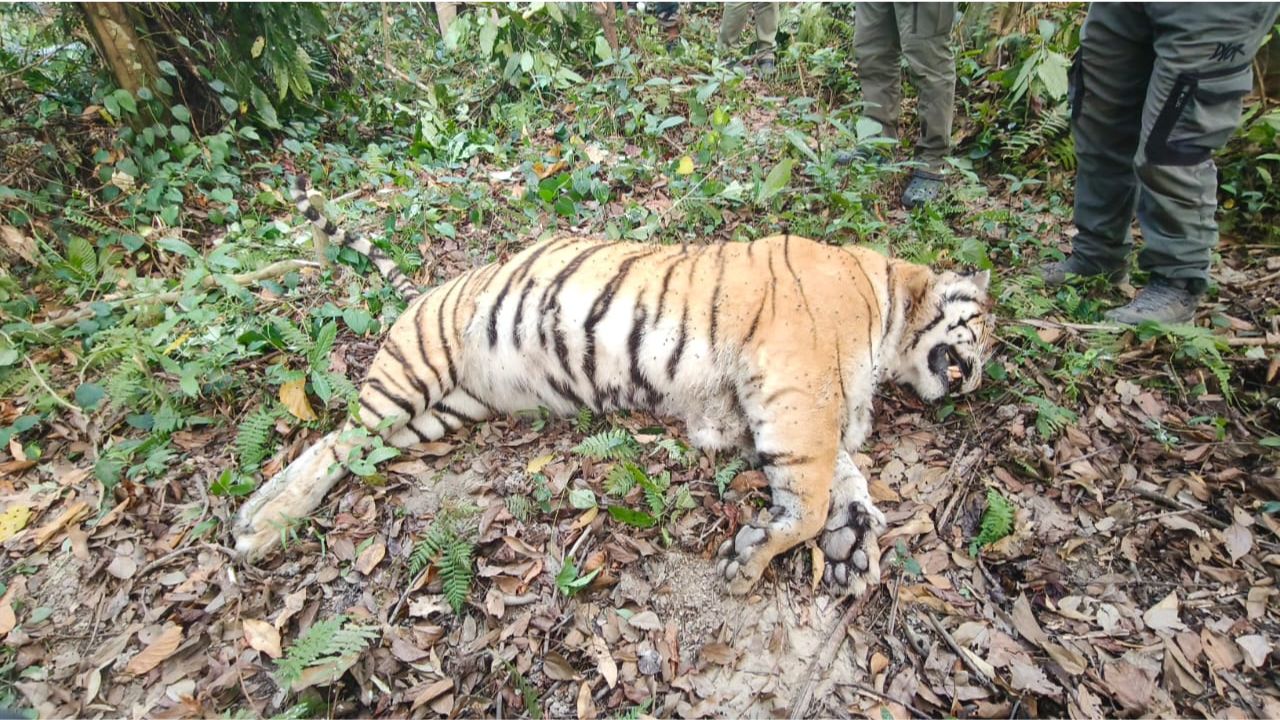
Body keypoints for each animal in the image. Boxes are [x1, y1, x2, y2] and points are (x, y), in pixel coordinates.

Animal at [233, 175, 992, 598]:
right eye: (982, 332)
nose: (978, 379)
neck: (889, 310)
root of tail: (429, 286)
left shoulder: (786, 405)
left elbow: (846, 476)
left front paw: (853, 544)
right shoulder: (796, 386)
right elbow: (808, 495)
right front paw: (754, 560)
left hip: (436, 411)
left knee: (342, 444)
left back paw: (257, 513)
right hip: (415, 368)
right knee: (340, 442)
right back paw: (262, 527)